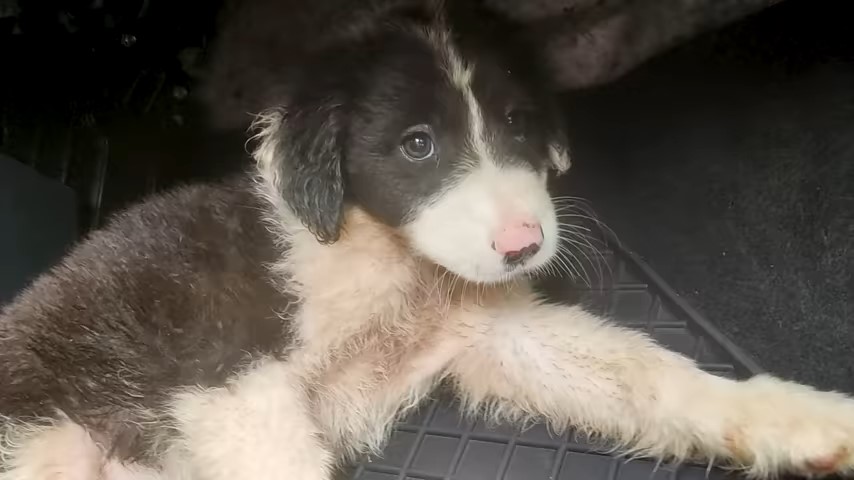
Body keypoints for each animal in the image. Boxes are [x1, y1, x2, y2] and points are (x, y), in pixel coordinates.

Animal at [1, 1, 854, 478]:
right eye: (417, 146)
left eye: (518, 122)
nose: (524, 245)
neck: (378, 254)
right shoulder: (228, 378)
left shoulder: (489, 333)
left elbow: (648, 373)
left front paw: (806, 421)